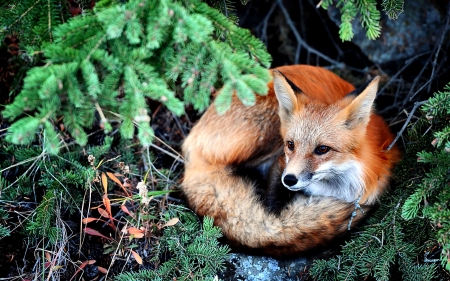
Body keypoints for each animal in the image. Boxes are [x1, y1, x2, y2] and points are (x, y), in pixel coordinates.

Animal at [181, 64, 400, 255]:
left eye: (322, 149)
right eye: (290, 144)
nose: (290, 180)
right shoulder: (281, 161)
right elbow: (270, 218)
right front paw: (272, 226)